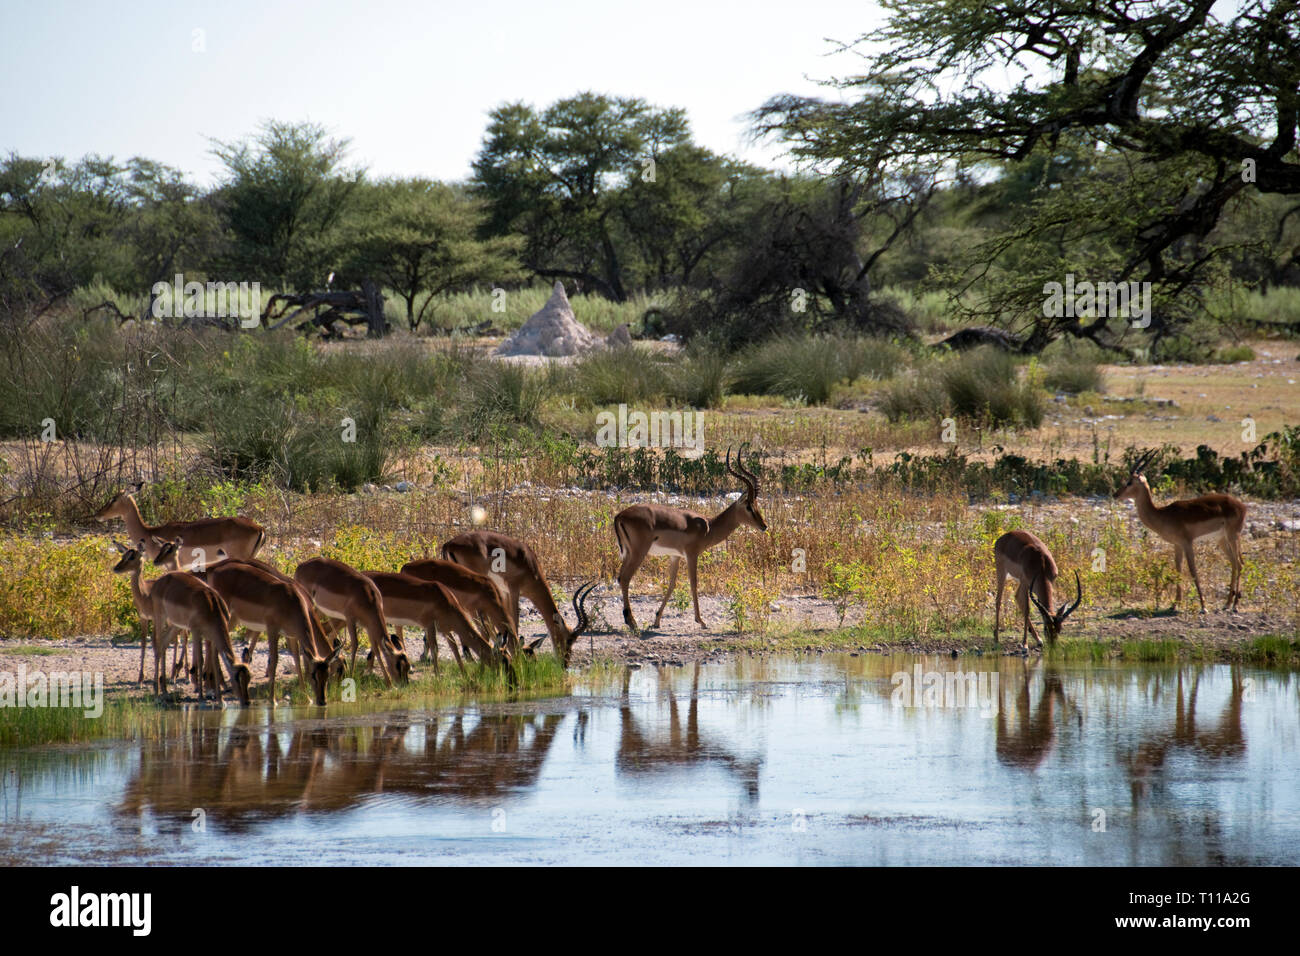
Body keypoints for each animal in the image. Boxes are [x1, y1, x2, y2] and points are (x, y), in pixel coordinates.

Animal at [147, 570, 250, 706]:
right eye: (236, 678)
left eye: (249, 678)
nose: (247, 702)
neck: (211, 606)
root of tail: (158, 582)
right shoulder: (196, 632)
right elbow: (200, 660)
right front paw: (201, 698)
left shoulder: (212, 637)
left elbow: (215, 662)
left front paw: (220, 700)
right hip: (160, 618)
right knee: (158, 647)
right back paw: (157, 695)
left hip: (176, 625)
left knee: (163, 645)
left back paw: (165, 692)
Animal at [439, 531, 586, 664]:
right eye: (569, 639)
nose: (565, 664)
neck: (530, 565)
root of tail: (449, 544)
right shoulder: (513, 589)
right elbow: (514, 620)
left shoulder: (503, 592)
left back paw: (469, 654)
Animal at [613, 445, 767, 635]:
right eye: (748, 506)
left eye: (757, 505)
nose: (764, 526)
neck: (708, 526)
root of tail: (620, 515)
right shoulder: (692, 555)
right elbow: (694, 583)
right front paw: (701, 621)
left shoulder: (675, 556)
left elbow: (671, 584)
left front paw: (656, 620)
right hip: (638, 553)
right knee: (625, 578)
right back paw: (632, 623)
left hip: (628, 553)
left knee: (620, 578)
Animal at [1115, 448, 1248, 612]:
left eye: (1129, 482)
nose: (1115, 495)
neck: (1162, 514)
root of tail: (1241, 506)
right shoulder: (1177, 544)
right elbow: (1178, 568)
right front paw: (1174, 604)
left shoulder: (1187, 543)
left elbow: (1192, 570)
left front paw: (1203, 606)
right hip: (1222, 539)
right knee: (1234, 563)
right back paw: (1227, 604)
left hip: (1232, 536)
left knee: (1240, 563)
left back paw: (1235, 606)